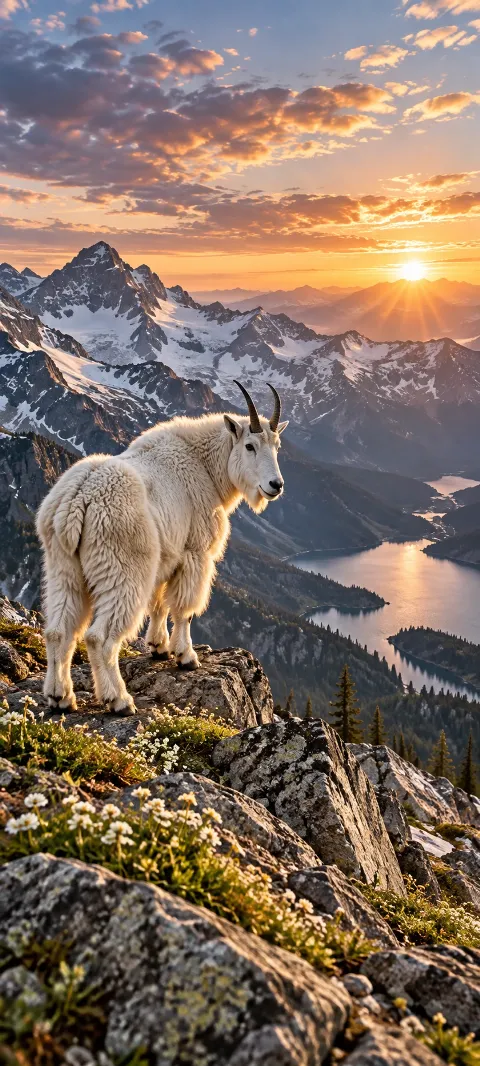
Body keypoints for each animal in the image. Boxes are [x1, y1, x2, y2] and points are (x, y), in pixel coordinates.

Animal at [36, 381, 288, 715]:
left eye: (277, 446)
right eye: (250, 446)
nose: (275, 485)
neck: (206, 467)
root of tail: (79, 499)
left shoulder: (165, 555)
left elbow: (158, 603)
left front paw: (158, 648)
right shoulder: (196, 553)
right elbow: (184, 610)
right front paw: (186, 656)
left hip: (63, 567)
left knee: (58, 630)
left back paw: (60, 696)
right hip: (123, 569)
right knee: (99, 637)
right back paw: (119, 700)